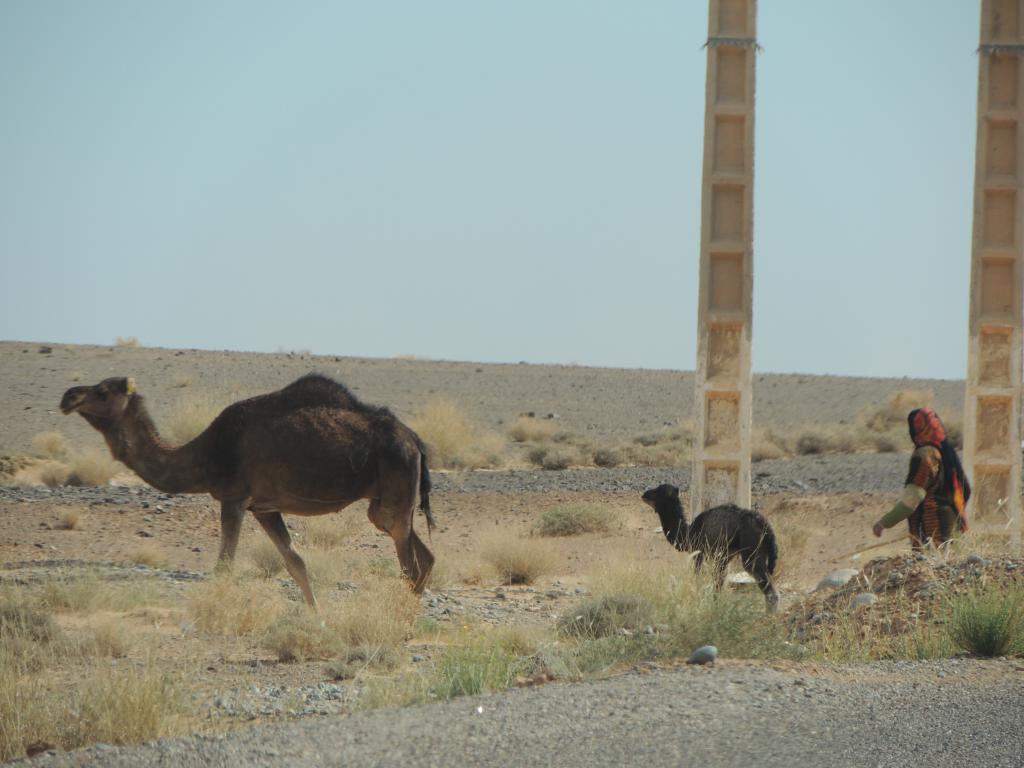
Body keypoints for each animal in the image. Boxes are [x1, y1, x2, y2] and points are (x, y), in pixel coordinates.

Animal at [58, 376, 436, 610]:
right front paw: (318, 618)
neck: (203, 455)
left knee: (409, 562)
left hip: (397, 482)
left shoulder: (234, 498)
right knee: (422, 554)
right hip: (383, 502)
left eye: (103, 392)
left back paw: (400, 618)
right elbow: (296, 563)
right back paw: (407, 615)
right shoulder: (263, 508)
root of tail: (415, 440)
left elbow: (224, 565)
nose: (68, 396)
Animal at [643, 487, 778, 614]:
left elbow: (699, 578)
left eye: (658, 492)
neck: (689, 533)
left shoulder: (700, 553)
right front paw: (716, 606)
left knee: (770, 592)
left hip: (751, 554)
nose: (644, 494)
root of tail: (767, 528)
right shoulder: (723, 558)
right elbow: (718, 584)